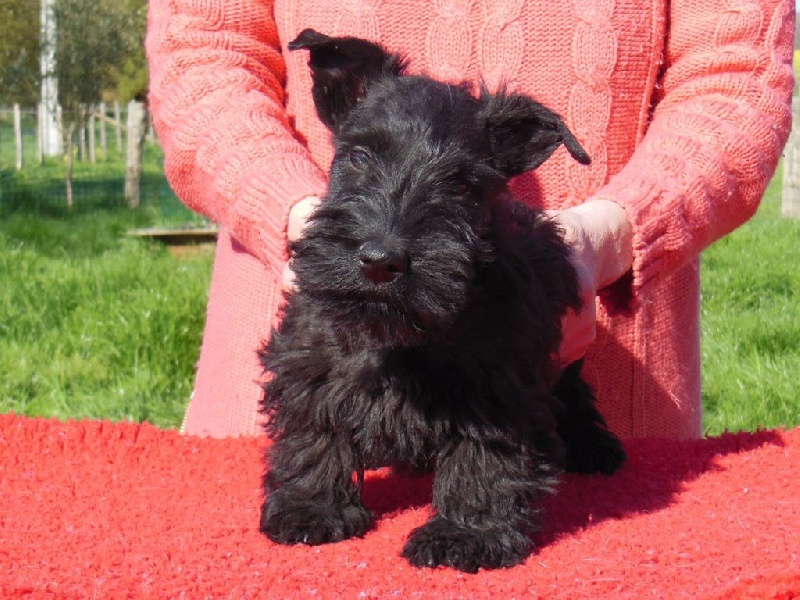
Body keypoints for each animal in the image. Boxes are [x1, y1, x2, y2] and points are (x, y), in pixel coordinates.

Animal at [258, 29, 625, 573]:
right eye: (358, 157)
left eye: (461, 183)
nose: (381, 260)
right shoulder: (311, 360)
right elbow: (314, 429)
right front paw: (310, 508)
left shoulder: (497, 389)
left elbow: (483, 459)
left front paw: (465, 533)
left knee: (576, 397)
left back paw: (597, 449)